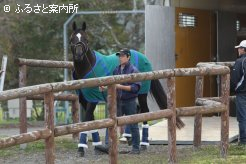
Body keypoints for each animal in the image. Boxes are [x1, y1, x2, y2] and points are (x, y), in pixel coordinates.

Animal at [70, 21, 184, 156]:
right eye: (72, 39)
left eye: (86, 40)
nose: (79, 55)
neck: (88, 68)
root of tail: (144, 58)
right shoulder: (84, 99)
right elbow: (90, 121)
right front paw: (97, 146)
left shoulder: (93, 99)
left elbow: (87, 119)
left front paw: (81, 148)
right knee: (135, 111)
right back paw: (129, 137)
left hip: (142, 93)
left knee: (144, 111)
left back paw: (143, 144)